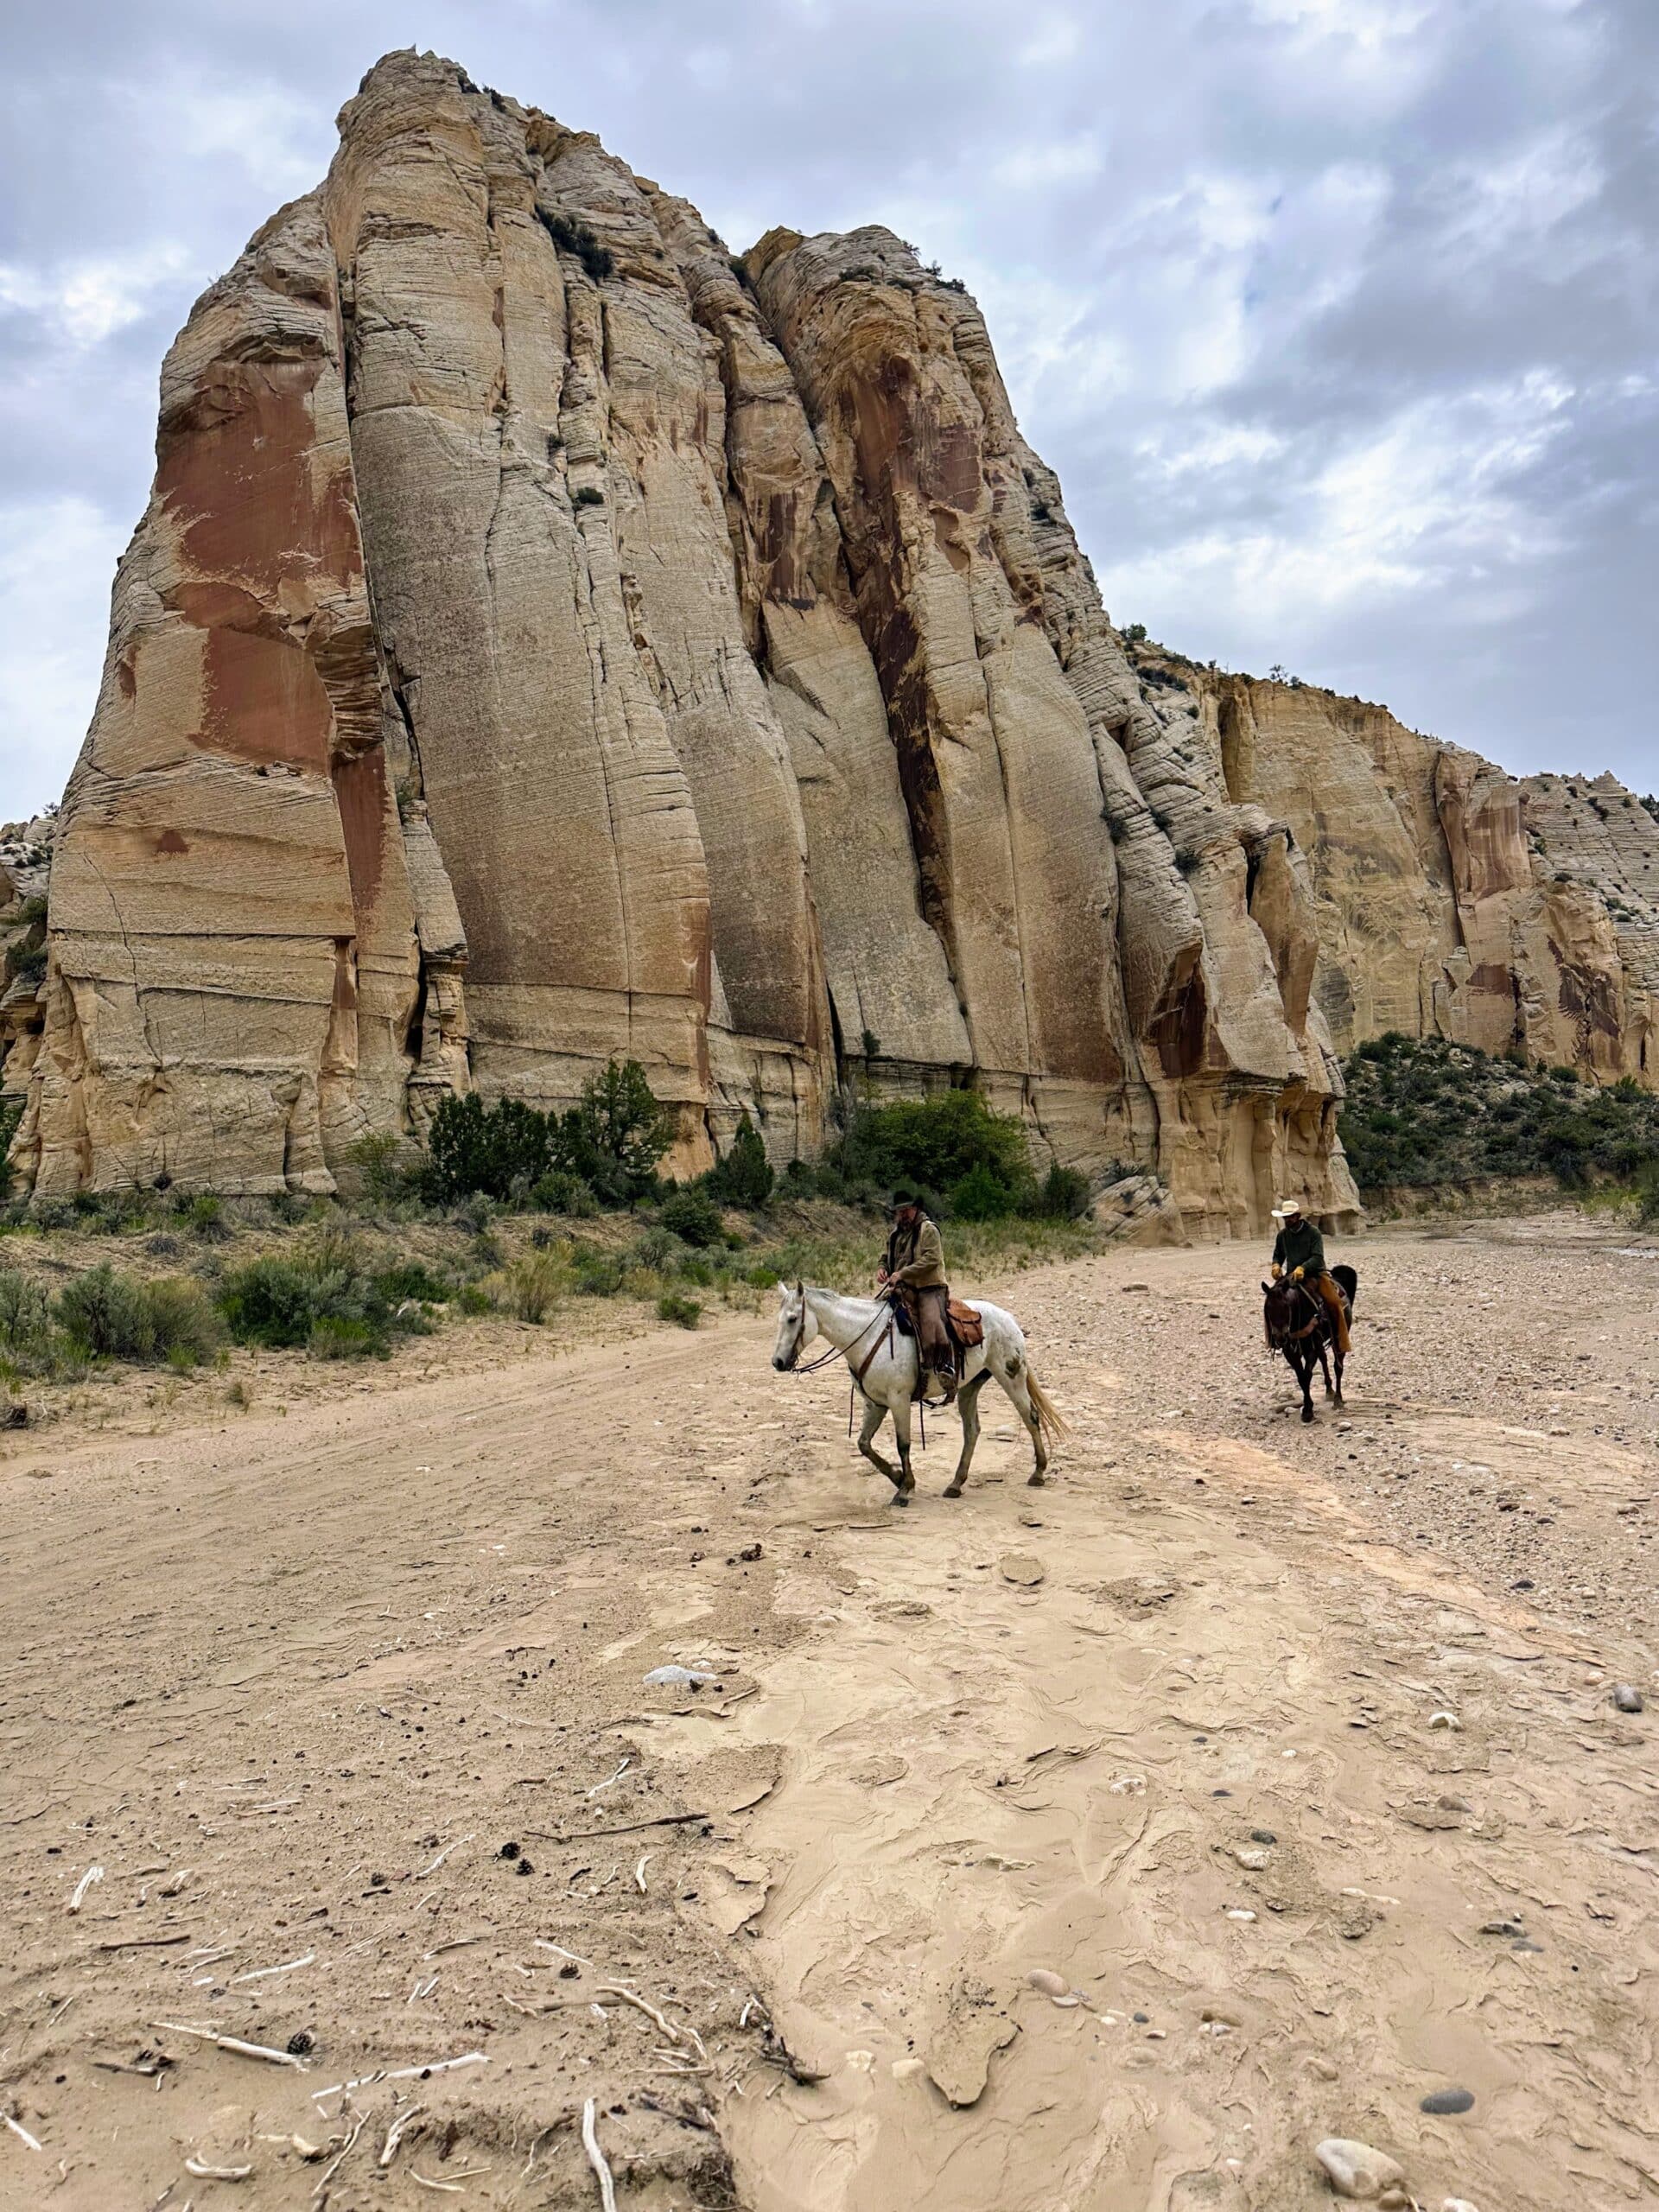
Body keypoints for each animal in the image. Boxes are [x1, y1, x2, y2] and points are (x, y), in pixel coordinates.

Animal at [771, 1281, 1066, 1504]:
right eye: (779, 1320)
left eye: (793, 1319)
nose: (778, 1362)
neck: (867, 1337)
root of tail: (1008, 1317)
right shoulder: (874, 1404)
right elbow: (864, 1444)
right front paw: (897, 1477)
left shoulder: (899, 1400)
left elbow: (903, 1444)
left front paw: (905, 1488)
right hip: (969, 1387)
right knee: (972, 1430)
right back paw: (956, 1484)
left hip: (1011, 1376)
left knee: (1030, 1416)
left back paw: (1038, 1473)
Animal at [1262, 1263, 1357, 1421]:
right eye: (1268, 1308)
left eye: (1286, 1306)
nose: (1280, 1337)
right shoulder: (1290, 1351)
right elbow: (1301, 1377)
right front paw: (1308, 1407)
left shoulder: (1310, 1349)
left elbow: (1307, 1375)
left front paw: (1307, 1410)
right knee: (1324, 1359)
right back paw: (1329, 1391)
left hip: (1340, 1336)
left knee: (1338, 1366)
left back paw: (1338, 1399)